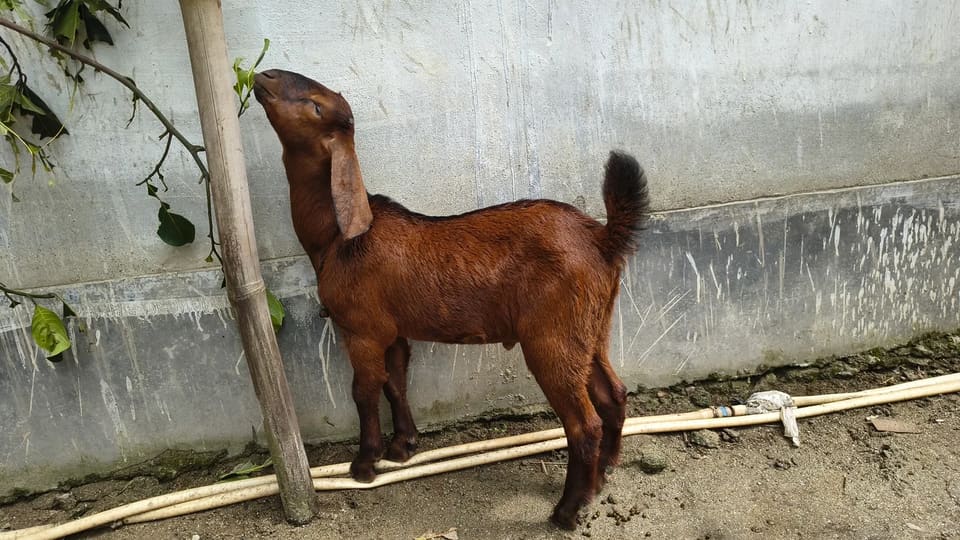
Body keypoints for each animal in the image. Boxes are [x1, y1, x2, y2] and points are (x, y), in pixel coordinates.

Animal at [253, 69, 650, 529]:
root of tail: (601, 239)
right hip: (590, 328)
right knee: (614, 395)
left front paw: (364, 465)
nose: (264, 75)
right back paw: (604, 475)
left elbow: (365, 391)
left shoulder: (362, 330)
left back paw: (568, 510)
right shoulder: (395, 331)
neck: (337, 238)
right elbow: (396, 382)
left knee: (584, 424)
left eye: (316, 106)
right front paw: (403, 446)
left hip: (552, 337)